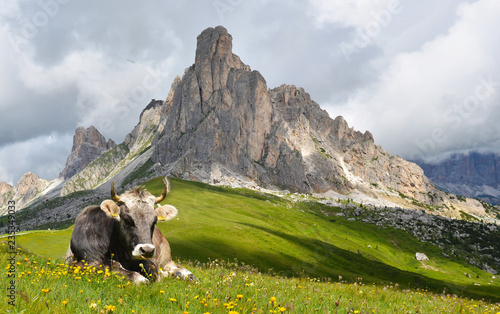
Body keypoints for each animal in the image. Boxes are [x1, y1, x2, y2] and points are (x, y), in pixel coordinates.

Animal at [66, 178, 197, 284]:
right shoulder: (87, 261)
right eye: (127, 219)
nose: (147, 250)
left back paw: (187, 275)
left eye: (154, 221)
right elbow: (115, 268)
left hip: (166, 257)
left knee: (173, 267)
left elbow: (153, 271)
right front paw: (140, 278)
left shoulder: (145, 260)